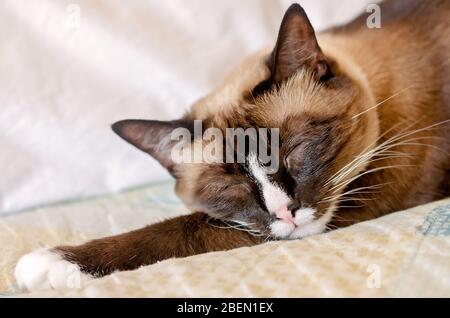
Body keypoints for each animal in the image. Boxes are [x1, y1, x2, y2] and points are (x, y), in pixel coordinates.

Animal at [14, 0, 450, 294]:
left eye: (296, 150)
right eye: (230, 188)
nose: (285, 212)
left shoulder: (367, 191)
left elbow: (184, 230)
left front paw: (49, 263)